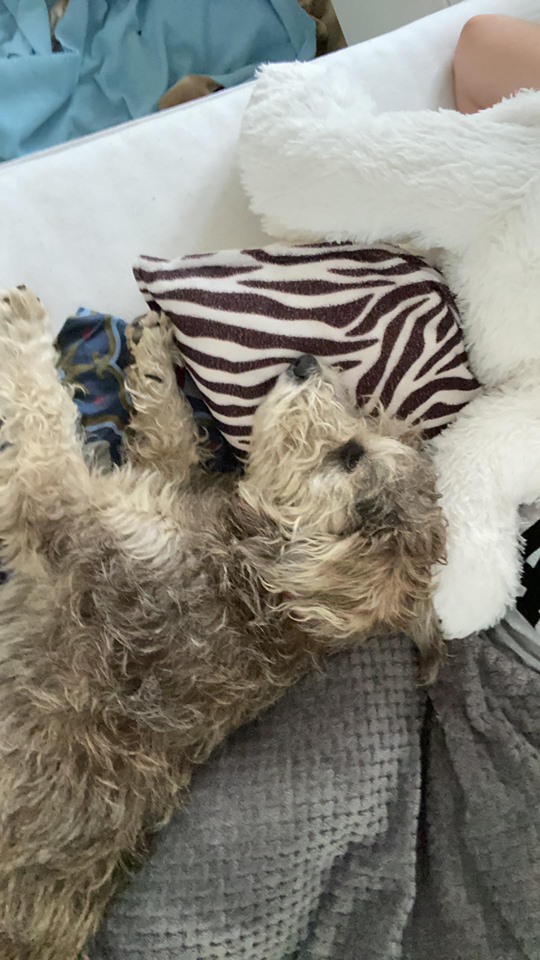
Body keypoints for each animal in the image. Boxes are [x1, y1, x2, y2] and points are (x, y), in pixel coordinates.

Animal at [0, 287, 444, 960]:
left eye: (349, 456)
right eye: (362, 431)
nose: (306, 362)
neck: (255, 585)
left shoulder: (68, 510)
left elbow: (43, 423)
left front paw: (22, 325)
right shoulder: (155, 490)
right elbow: (169, 437)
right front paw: (157, 356)